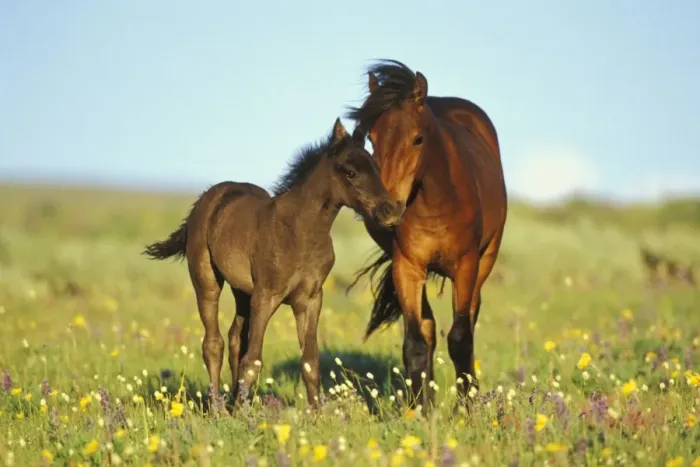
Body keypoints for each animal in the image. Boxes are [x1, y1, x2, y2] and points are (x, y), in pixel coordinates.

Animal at [143, 118, 405, 409]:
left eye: (377, 169)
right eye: (350, 173)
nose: (391, 211)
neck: (301, 233)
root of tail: (206, 198)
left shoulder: (310, 299)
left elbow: (310, 361)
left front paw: (315, 414)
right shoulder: (266, 296)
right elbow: (253, 359)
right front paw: (242, 414)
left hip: (242, 291)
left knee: (235, 338)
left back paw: (230, 403)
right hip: (207, 281)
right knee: (213, 343)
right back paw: (218, 408)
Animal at [346, 60, 508, 408]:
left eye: (417, 139)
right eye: (372, 139)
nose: (387, 209)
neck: (436, 204)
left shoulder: (466, 266)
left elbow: (460, 337)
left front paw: (466, 407)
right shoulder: (406, 266)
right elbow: (416, 343)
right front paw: (420, 409)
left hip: (485, 261)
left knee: (469, 320)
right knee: (429, 328)